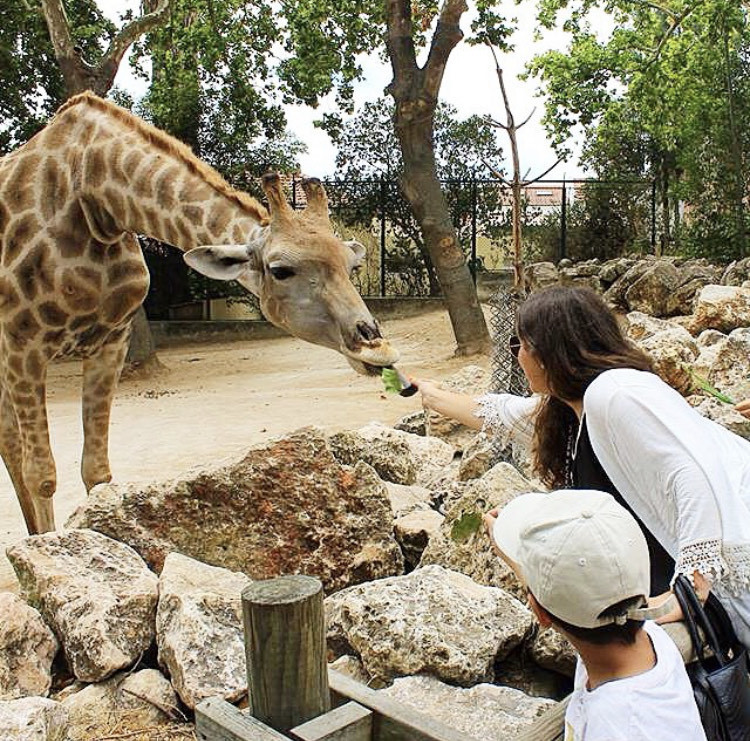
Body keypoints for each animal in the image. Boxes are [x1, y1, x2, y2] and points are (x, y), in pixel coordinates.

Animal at [0, 91, 400, 532]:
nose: (377, 349)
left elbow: (97, 470)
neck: (95, 198)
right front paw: (48, 545)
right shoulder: (24, 345)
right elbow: (42, 475)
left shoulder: (110, 342)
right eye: (281, 270)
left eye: (352, 266)